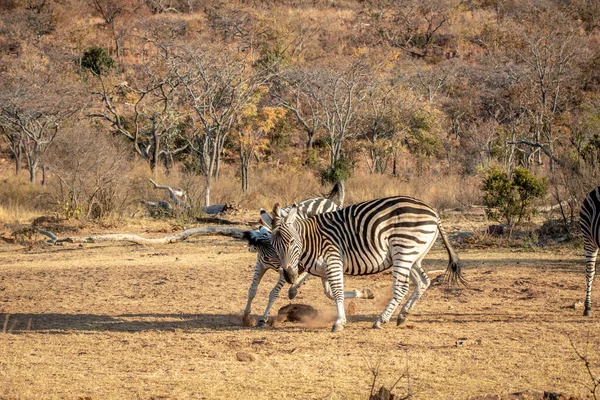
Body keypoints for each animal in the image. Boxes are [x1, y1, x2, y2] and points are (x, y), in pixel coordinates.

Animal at [241, 194, 372, 328]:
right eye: (274, 250)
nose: (289, 273)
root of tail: (328, 201)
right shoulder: (261, 264)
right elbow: (252, 290)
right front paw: (246, 316)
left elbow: (273, 293)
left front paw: (263, 318)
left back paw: (294, 288)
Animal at [264, 196, 466, 332]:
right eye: (274, 245)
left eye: (292, 242)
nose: (289, 276)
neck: (310, 240)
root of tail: (433, 212)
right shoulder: (323, 271)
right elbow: (330, 293)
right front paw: (365, 294)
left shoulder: (333, 260)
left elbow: (337, 292)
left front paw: (339, 322)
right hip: (413, 256)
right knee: (423, 282)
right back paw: (402, 315)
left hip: (403, 250)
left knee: (401, 287)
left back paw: (381, 320)